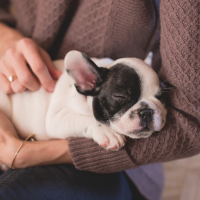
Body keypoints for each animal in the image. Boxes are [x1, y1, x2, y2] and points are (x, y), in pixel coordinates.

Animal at [0, 50, 167, 150]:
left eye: (161, 96)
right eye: (121, 97)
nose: (146, 111)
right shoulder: (57, 117)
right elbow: (85, 118)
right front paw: (107, 132)